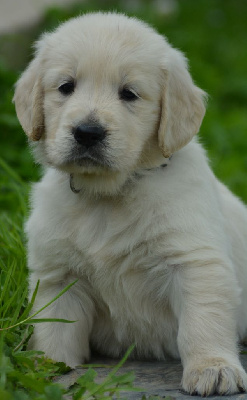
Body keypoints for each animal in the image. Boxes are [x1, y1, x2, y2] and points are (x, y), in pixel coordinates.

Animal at [14, 12, 247, 396]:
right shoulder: (59, 275)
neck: (109, 194)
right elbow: (54, 329)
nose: (87, 132)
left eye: (129, 94)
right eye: (66, 87)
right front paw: (47, 366)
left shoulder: (195, 261)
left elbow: (202, 321)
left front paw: (213, 368)